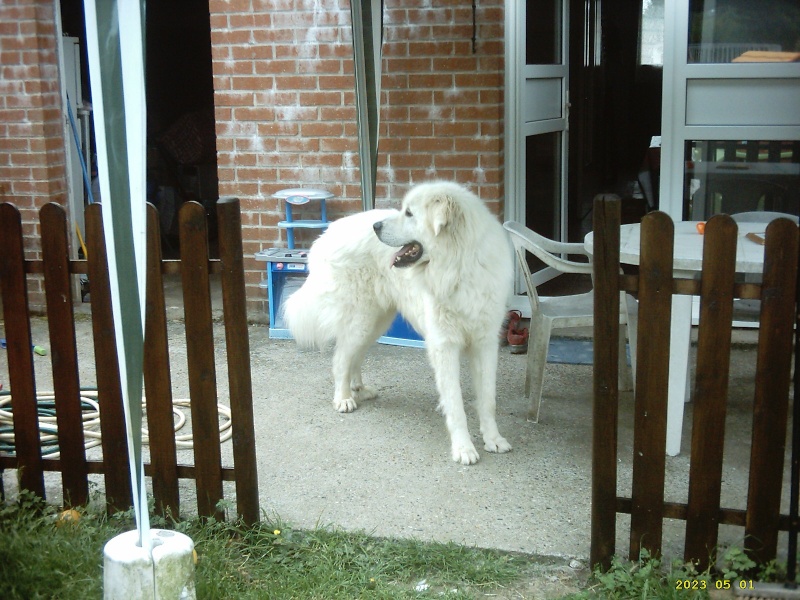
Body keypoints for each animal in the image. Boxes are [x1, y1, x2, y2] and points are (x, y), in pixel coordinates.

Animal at [284, 182, 516, 464]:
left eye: (409, 213)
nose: (376, 227)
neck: (459, 267)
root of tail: (327, 234)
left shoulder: (485, 344)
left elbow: (488, 399)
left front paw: (493, 439)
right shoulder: (444, 346)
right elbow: (455, 402)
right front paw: (463, 448)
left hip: (376, 321)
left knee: (353, 356)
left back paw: (359, 388)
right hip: (361, 319)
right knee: (340, 359)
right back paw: (344, 398)